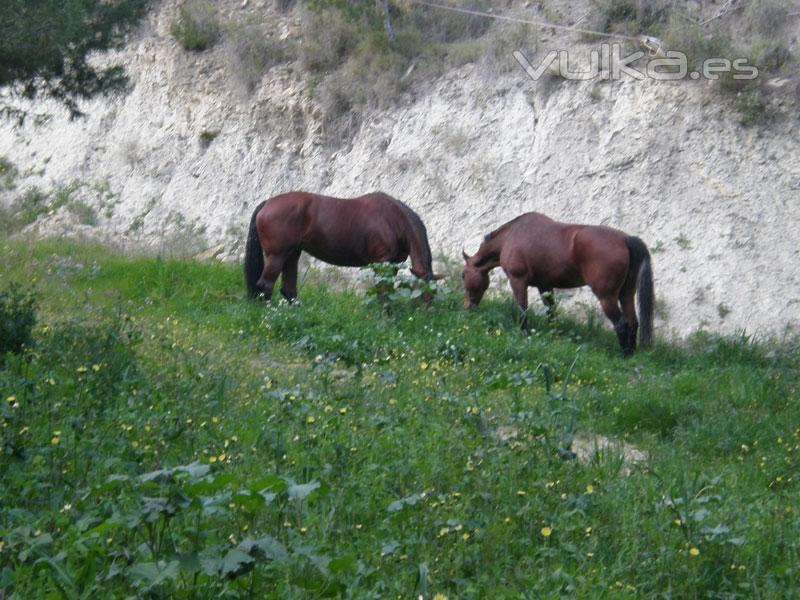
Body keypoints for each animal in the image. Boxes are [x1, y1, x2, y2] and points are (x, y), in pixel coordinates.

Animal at [245, 191, 444, 302]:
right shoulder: (381, 263)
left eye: (434, 292)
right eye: (419, 292)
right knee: (265, 285)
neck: (394, 219)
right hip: (277, 255)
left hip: (292, 254)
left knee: (288, 289)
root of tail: (268, 202)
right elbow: (382, 290)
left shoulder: (393, 264)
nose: (425, 314)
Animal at [462, 213, 656, 356]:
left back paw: (623, 354)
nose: (467, 307)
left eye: (463, 275)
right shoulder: (545, 286)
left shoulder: (518, 281)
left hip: (606, 297)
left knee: (621, 323)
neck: (511, 235)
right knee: (632, 321)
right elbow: (552, 313)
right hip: (626, 294)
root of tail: (625, 239)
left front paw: (524, 333)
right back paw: (631, 353)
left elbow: (523, 310)